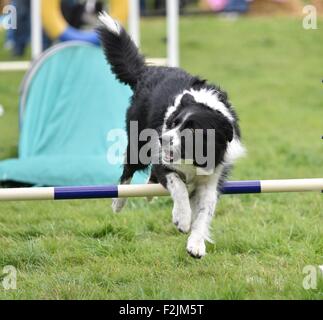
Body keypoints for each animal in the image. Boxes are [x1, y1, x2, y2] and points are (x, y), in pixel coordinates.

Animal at [98, 11, 246, 258]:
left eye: (192, 129)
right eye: (173, 123)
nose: (162, 138)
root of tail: (148, 70)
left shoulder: (212, 177)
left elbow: (205, 211)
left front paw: (196, 244)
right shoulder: (163, 161)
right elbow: (178, 186)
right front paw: (182, 219)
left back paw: (149, 193)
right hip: (139, 145)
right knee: (127, 172)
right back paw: (119, 203)